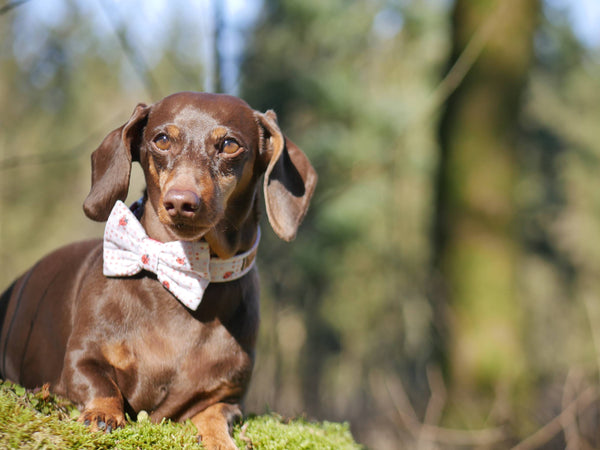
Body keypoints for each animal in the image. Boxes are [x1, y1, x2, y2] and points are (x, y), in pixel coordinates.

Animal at [0, 92, 318, 450]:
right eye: (162, 139)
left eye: (230, 145)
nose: (181, 202)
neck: (180, 272)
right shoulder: (81, 357)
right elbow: (101, 385)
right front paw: (102, 415)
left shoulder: (226, 394)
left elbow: (214, 414)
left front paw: (218, 439)